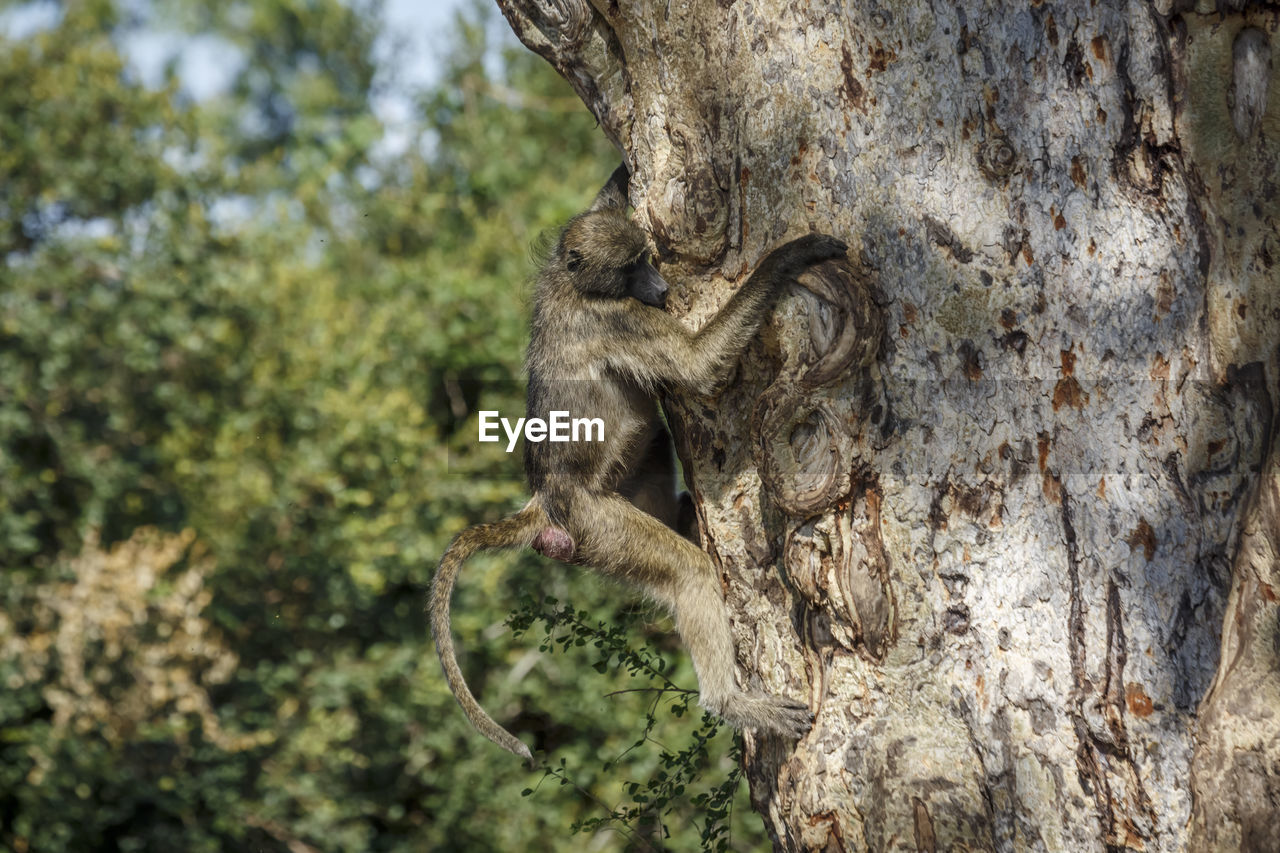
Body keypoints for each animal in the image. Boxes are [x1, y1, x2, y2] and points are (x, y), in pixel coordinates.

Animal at [430, 164, 848, 761]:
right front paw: (793, 255)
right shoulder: (621, 320)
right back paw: (733, 703)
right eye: (632, 269)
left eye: (647, 259)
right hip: (597, 525)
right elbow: (698, 365)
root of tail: (544, 501)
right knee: (688, 572)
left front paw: (619, 173)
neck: (575, 285)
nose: (663, 290)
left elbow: (596, 205)